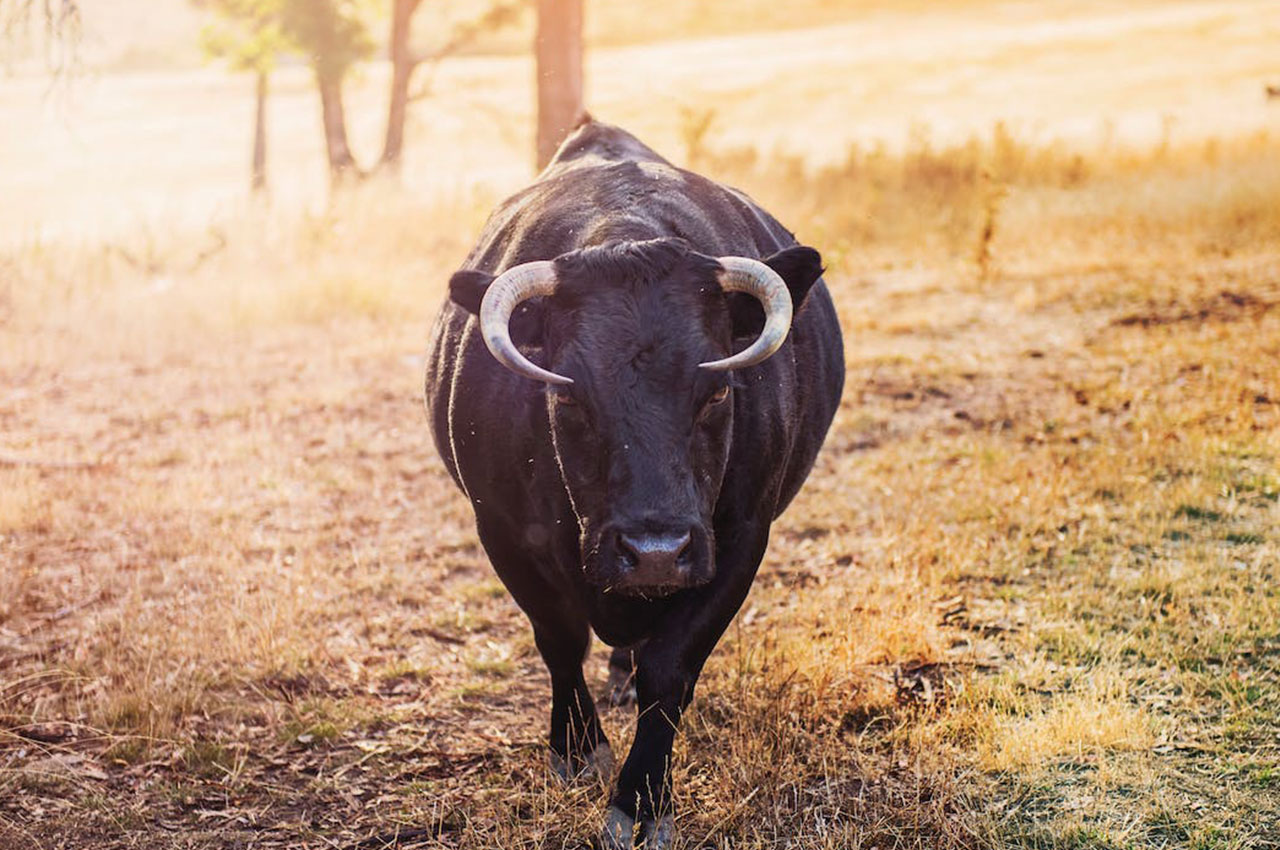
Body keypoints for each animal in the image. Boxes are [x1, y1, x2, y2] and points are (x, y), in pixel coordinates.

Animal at [422, 120, 839, 850]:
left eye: (717, 391)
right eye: (567, 397)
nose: (654, 551)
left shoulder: (738, 538)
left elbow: (670, 669)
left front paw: (642, 800)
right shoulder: (502, 530)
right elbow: (559, 638)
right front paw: (578, 749)